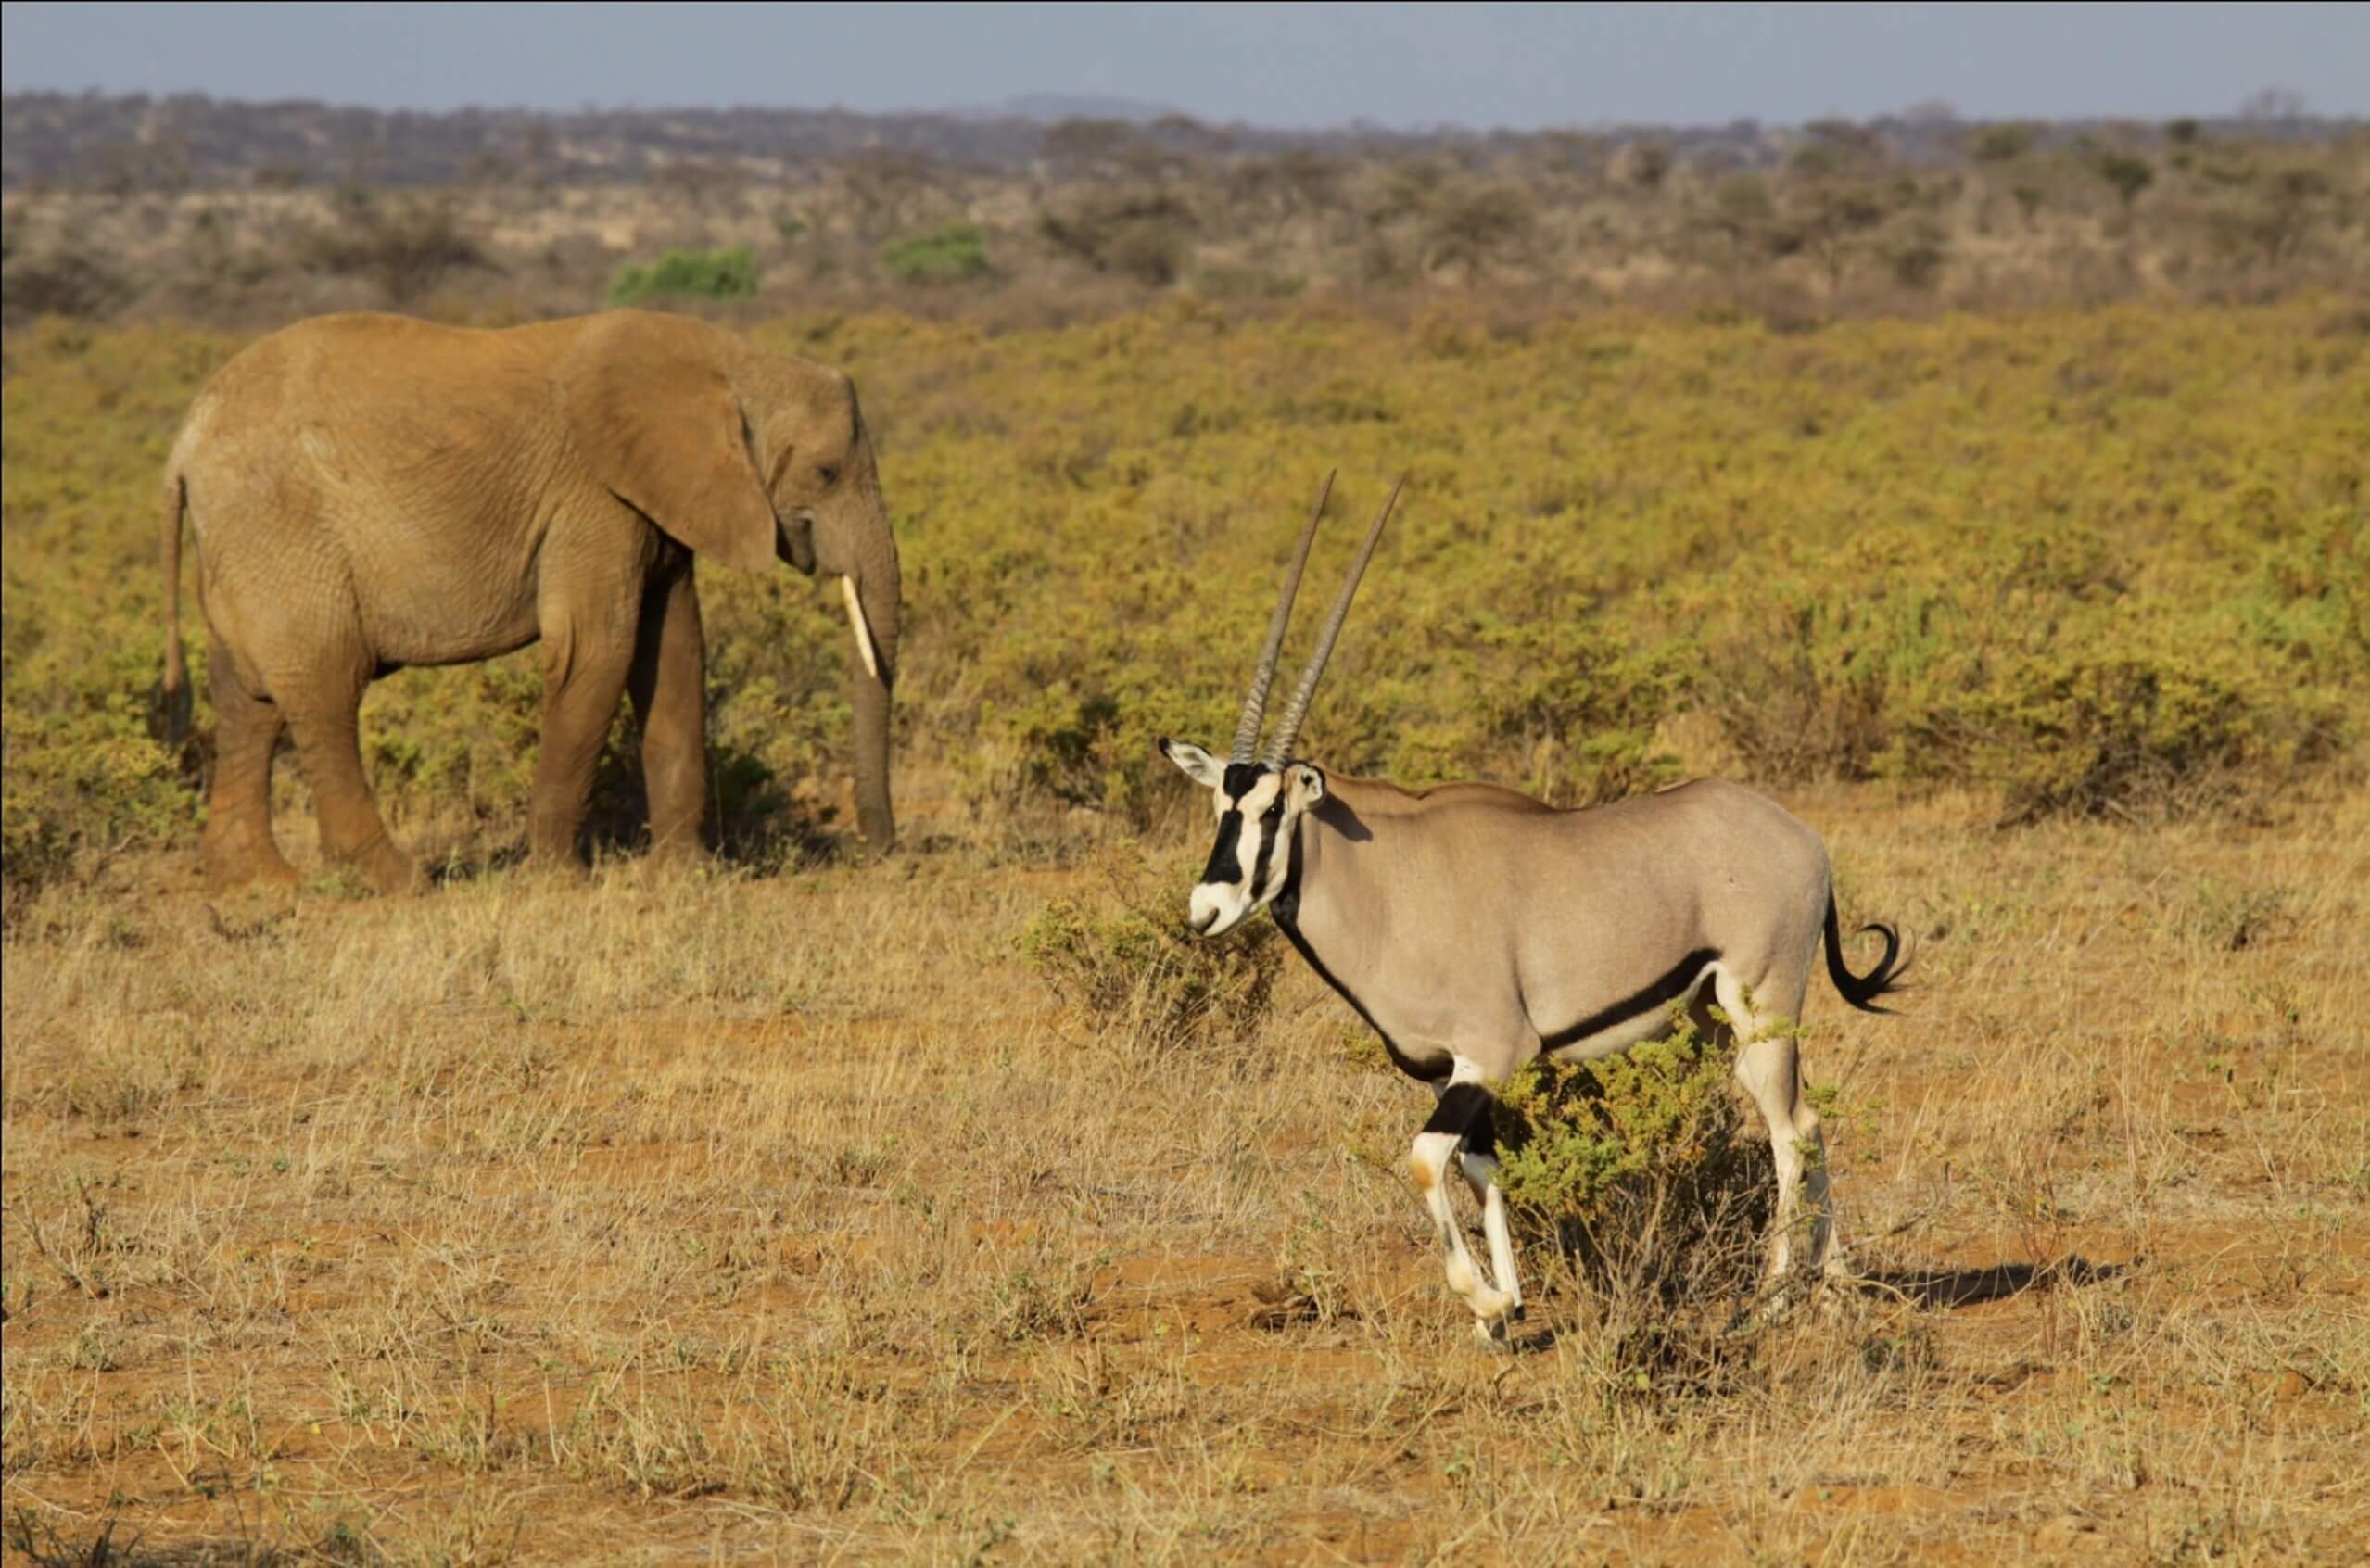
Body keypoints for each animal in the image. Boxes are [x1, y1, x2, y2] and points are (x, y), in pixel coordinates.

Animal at [155, 308, 900, 893]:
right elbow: (596, 652)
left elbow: (675, 655)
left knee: (246, 699)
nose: (883, 855)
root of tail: (183, 444)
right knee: (326, 686)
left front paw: (687, 877)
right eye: (826, 472)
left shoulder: (657, 505)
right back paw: (398, 883)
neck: (734, 363)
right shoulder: (592, 500)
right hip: (279, 528)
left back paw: (258, 889)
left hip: (243, 543)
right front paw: (558, 883)